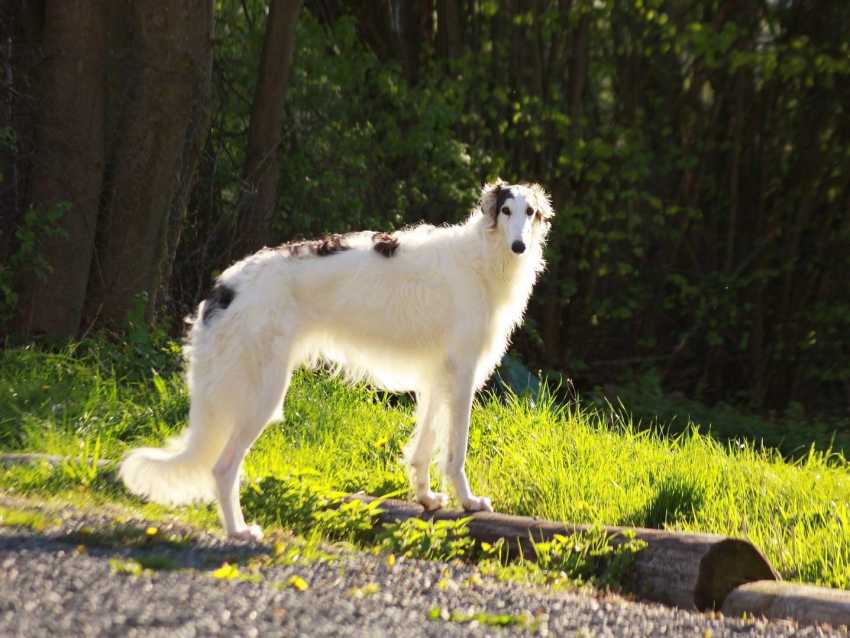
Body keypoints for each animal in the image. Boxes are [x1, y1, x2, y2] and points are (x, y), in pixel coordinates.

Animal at [121, 180, 556, 540]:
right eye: (506, 210)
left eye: (530, 212)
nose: (519, 246)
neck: (481, 259)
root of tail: (225, 286)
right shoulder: (462, 373)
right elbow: (455, 452)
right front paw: (469, 502)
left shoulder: (438, 377)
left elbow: (422, 448)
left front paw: (427, 498)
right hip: (263, 394)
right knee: (222, 468)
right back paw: (239, 531)